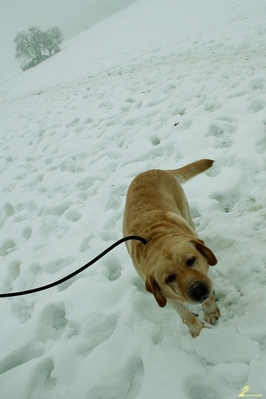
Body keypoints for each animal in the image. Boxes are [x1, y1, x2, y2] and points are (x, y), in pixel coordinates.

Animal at [123, 159, 219, 338]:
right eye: (169, 278)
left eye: (191, 260)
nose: (197, 290)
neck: (156, 239)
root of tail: (156, 170)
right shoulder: (165, 295)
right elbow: (186, 315)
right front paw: (200, 332)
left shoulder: (204, 271)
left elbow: (209, 296)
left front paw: (210, 312)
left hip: (186, 212)